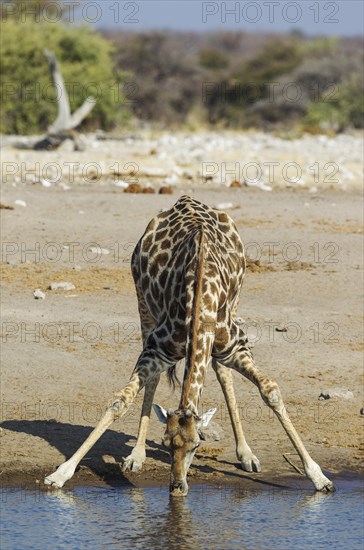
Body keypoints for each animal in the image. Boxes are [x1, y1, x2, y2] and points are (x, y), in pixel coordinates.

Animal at [44, 197, 334, 496]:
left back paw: (246, 454)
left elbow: (270, 391)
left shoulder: (236, 347)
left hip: (235, 302)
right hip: (144, 306)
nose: (177, 487)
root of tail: (185, 199)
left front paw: (319, 477)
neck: (199, 301)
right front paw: (60, 474)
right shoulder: (156, 350)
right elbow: (119, 401)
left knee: (222, 373)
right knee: (158, 378)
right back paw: (137, 455)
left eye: (196, 445)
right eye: (166, 442)